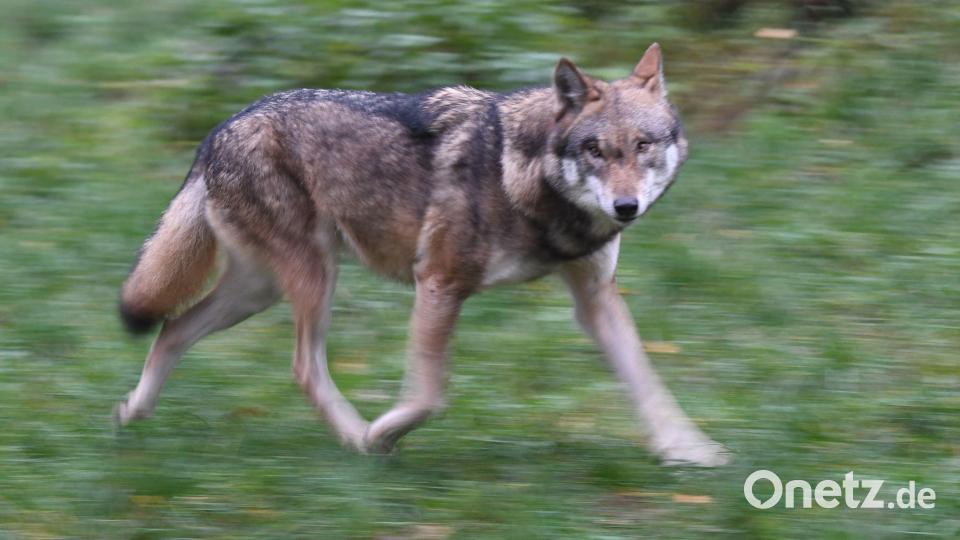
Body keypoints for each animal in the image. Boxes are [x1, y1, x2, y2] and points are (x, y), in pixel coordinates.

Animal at [115, 43, 727, 466]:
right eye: (596, 150)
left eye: (643, 145)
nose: (626, 206)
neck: (524, 177)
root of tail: (219, 129)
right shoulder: (438, 281)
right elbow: (430, 395)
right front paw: (382, 431)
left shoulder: (595, 299)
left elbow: (647, 382)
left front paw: (689, 451)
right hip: (312, 278)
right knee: (302, 367)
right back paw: (356, 439)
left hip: (259, 290)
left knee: (173, 327)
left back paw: (132, 413)